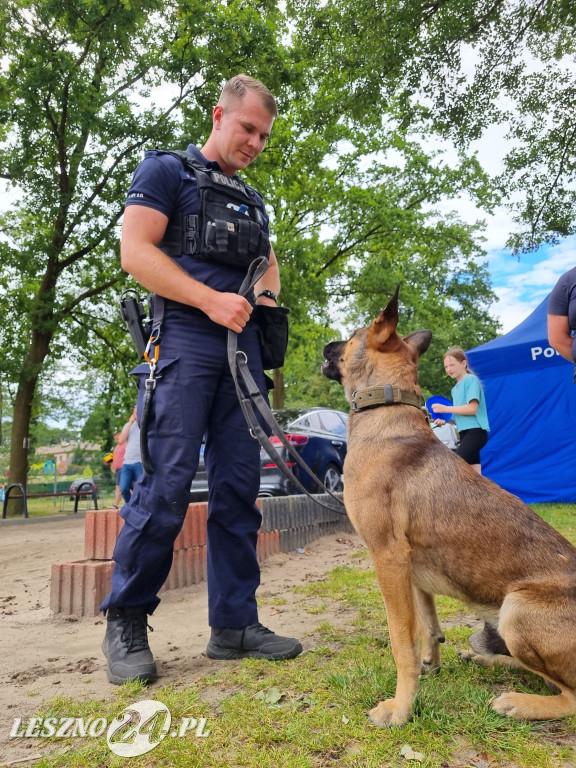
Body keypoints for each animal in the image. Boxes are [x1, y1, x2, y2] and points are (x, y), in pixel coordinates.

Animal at [320, 288, 576, 728]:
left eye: (352, 336)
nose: (323, 345)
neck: (387, 412)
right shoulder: (410, 567)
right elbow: (427, 626)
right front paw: (431, 664)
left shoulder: (387, 557)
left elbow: (400, 640)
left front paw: (401, 708)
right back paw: (488, 661)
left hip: (516, 609)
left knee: (570, 695)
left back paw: (520, 703)